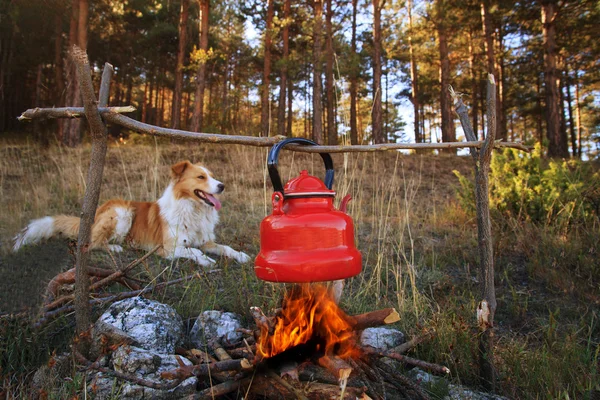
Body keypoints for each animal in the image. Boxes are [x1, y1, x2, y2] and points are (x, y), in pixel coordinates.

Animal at [12, 159, 251, 266]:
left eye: (213, 176)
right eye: (201, 177)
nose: (222, 186)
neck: (193, 210)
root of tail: (96, 212)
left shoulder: (206, 241)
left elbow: (225, 247)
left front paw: (241, 255)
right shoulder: (168, 249)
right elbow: (194, 251)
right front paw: (205, 260)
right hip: (123, 212)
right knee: (92, 243)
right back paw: (115, 247)